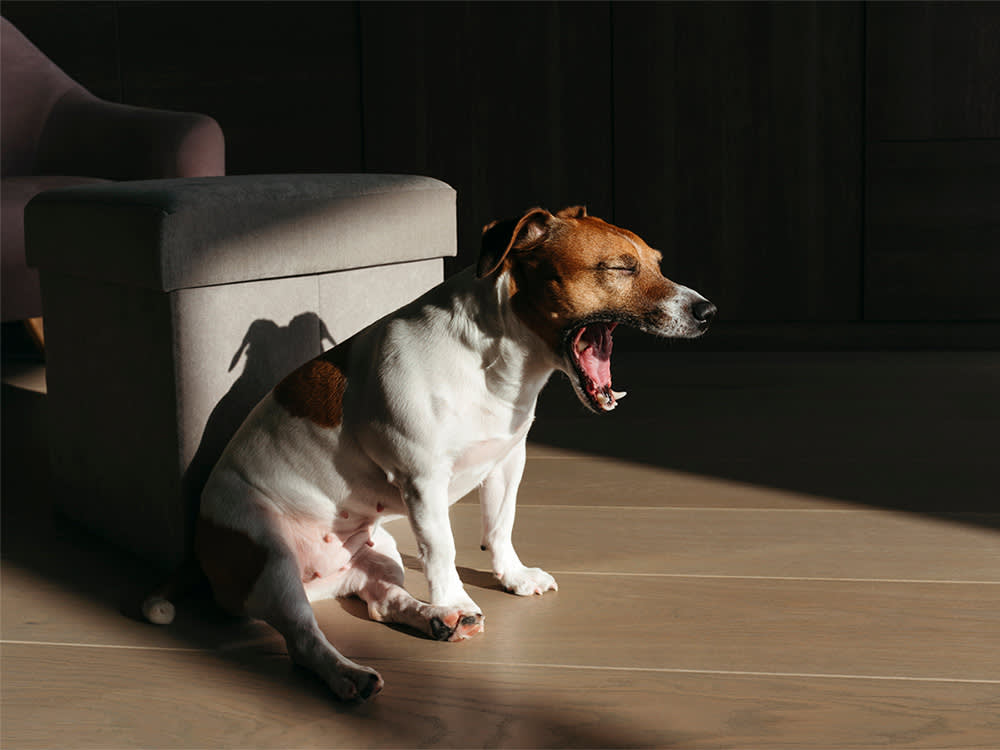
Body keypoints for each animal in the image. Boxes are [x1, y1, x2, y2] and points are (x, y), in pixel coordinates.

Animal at [145, 203, 716, 704]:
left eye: (657, 262)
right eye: (620, 268)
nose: (708, 311)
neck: (500, 359)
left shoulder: (507, 462)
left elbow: (500, 526)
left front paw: (511, 578)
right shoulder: (423, 481)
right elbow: (442, 548)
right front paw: (457, 595)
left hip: (379, 551)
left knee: (381, 600)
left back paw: (435, 619)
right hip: (271, 561)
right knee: (304, 640)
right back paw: (355, 672)